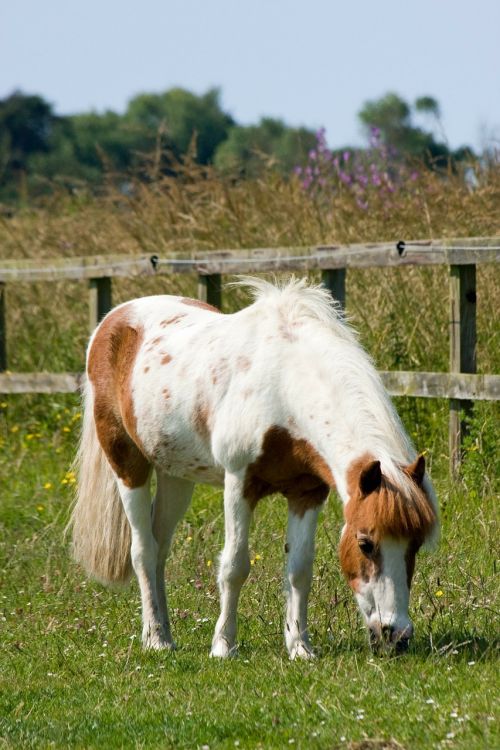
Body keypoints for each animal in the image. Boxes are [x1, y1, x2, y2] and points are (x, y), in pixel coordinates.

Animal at [69, 276, 438, 656]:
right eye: (365, 543)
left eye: (416, 544)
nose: (395, 635)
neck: (284, 386)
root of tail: (113, 320)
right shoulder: (238, 483)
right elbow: (235, 566)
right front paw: (223, 646)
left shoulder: (308, 492)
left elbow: (299, 569)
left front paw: (299, 647)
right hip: (127, 465)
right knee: (142, 551)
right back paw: (156, 639)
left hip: (176, 477)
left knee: (159, 548)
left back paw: (163, 635)